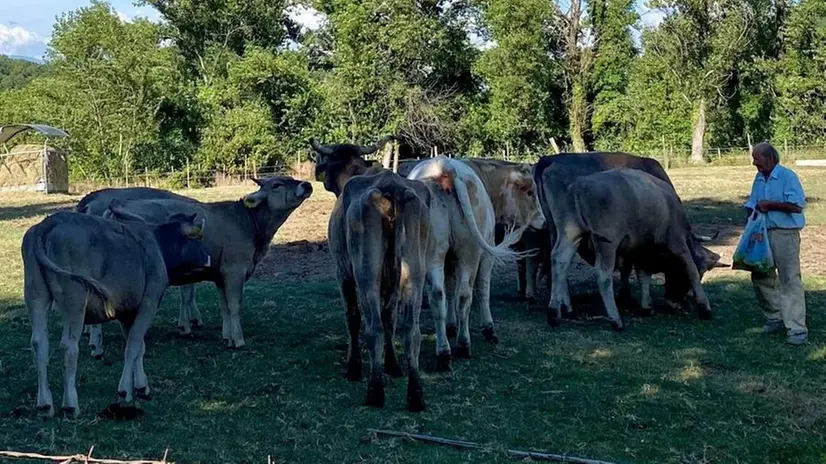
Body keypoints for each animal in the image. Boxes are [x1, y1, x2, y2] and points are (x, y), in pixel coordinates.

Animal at [22, 210, 211, 416]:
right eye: (198, 237)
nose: (208, 258)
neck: (157, 244)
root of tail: (48, 223)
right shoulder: (148, 304)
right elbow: (133, 347)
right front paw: (125, 390)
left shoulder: (127, 313)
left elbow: (138, 347)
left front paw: (141, 385)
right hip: (75, 301)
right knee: (69, 347)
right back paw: (70, 404)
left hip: (35, 297)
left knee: (39, 343)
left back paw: (45, 404)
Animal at [101, 178, 310, 348]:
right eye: (277, 185)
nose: (306, 185)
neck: (247, 222)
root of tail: (115, 208)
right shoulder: (234, 271)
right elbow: (234, 305)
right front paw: (239, 340)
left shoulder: (220, 276)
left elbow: (224, 307)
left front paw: (228, 337)